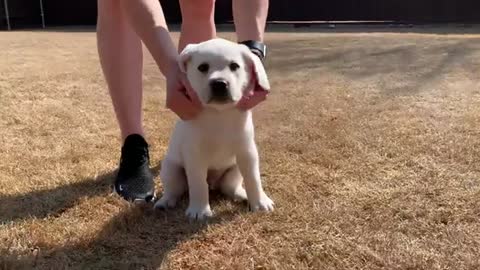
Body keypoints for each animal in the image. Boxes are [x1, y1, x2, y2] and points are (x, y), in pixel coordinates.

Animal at [154, 38, 274, 219]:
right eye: (203, 67)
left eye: (234, 66)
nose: (219, 84)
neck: (219, 114)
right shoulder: (195, 155)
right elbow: (198, 184)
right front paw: (199, 210)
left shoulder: (247, 152)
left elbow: (253, 178)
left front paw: (260, 202)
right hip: (170, 169)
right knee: (175, 190)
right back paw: (165, 202)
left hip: (234, 170)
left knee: (229, 188)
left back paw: (242, 195)